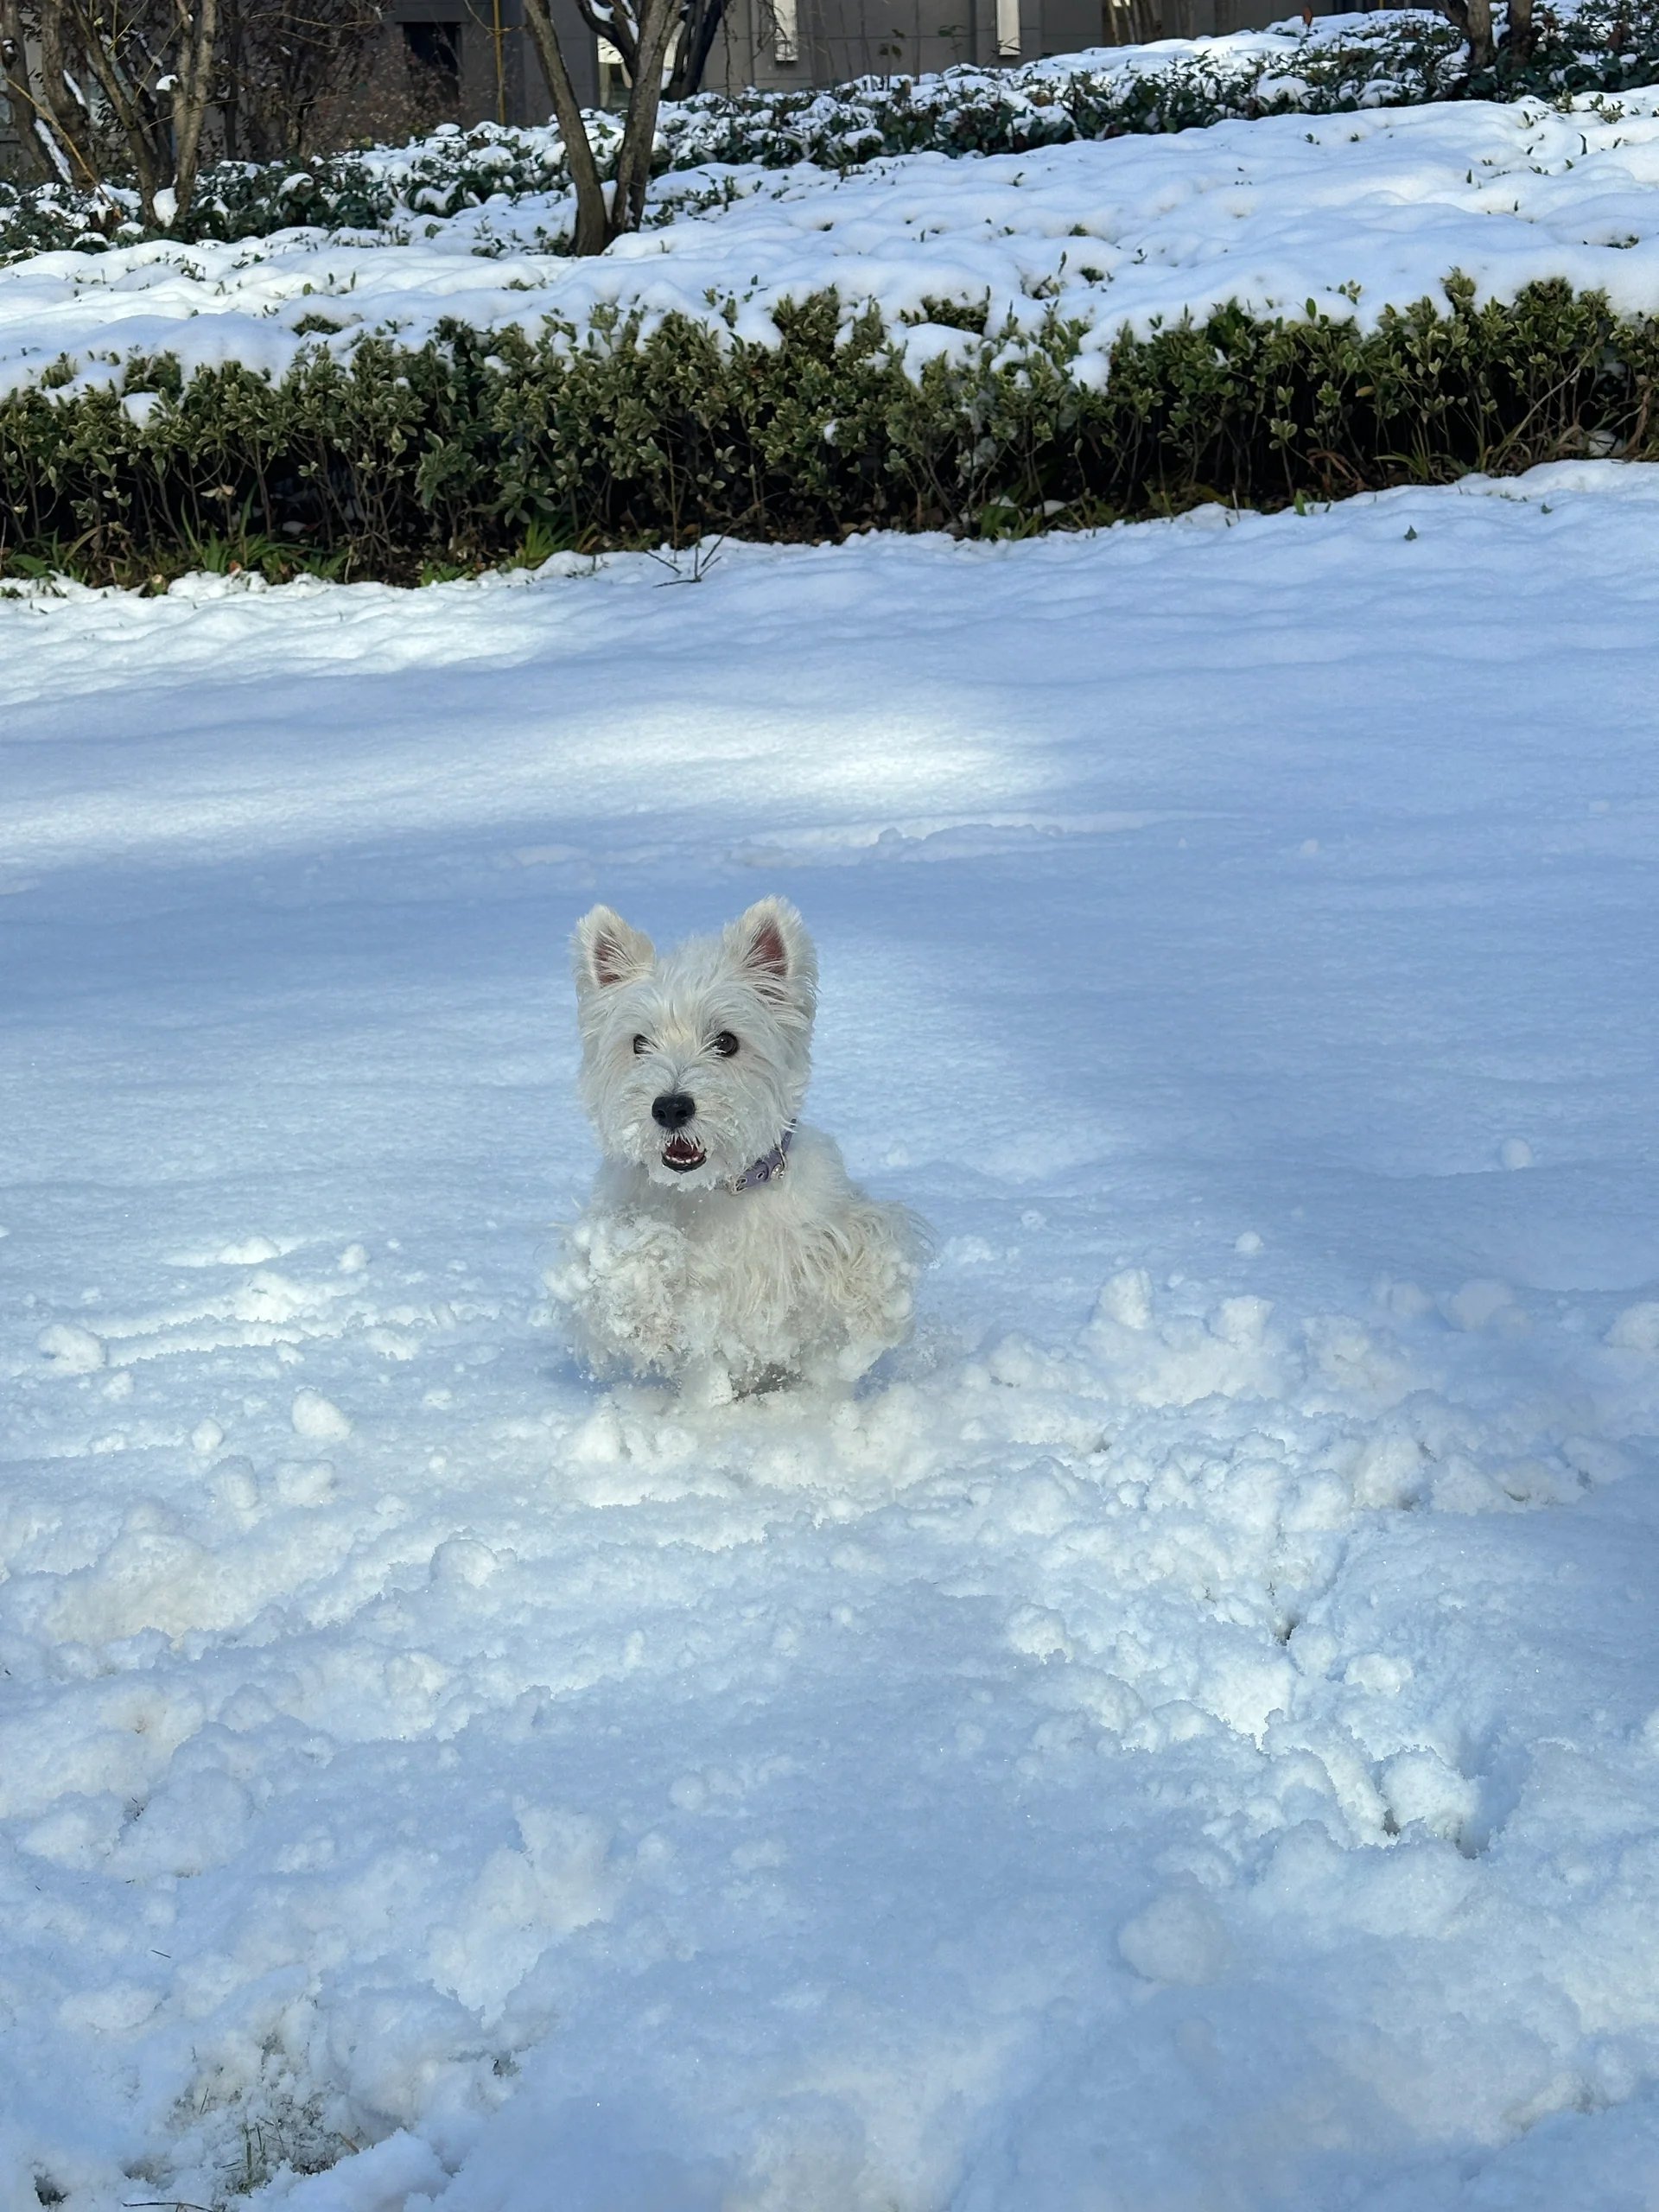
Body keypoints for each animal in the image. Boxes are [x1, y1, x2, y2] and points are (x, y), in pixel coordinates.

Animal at [555, 893, 925, 1380]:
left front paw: (868, 1319)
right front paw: (647, 1292)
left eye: (727, 1041)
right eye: (639, 1043)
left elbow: (862, 1258)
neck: (714, 1192)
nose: (670, 1108)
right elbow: (623, 1273)